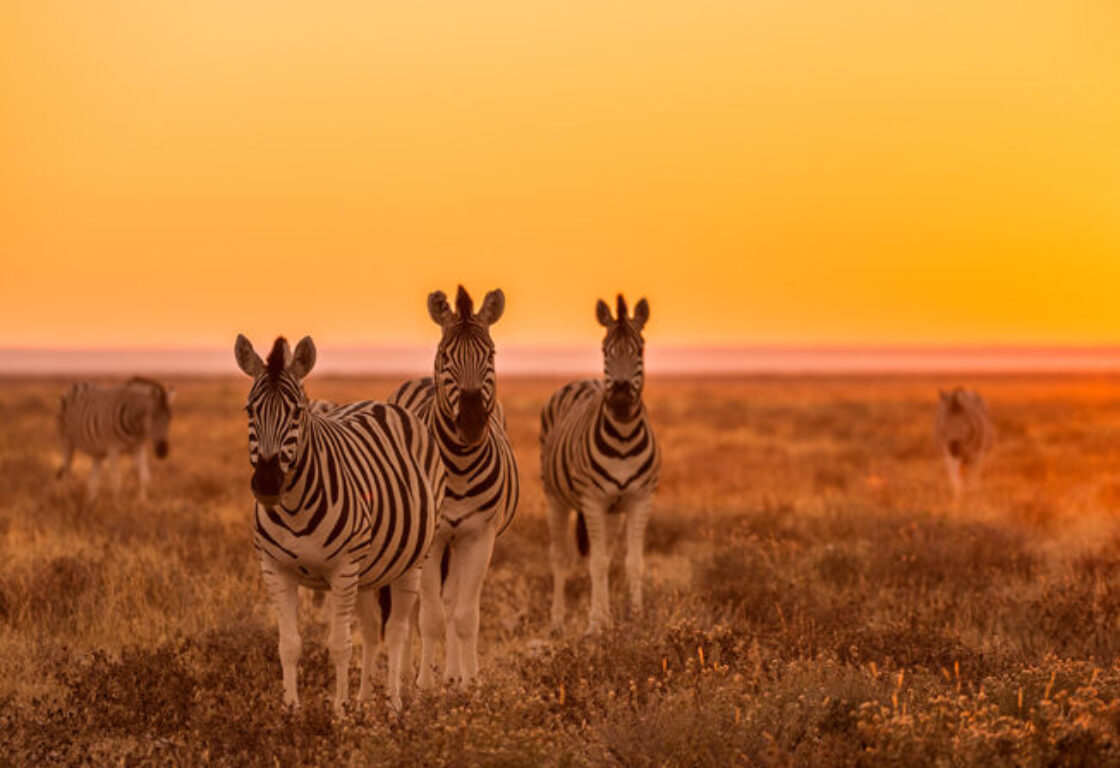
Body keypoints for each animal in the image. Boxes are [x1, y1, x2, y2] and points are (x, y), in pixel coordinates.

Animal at [234, 334, 444, 711]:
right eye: (249, 410)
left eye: (297, 412)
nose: (268, 484)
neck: (294, 508)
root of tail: (382, 404)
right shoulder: (274, 569)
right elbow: (289, 644)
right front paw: (291, 711)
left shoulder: (343, 569)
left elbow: (340, 645)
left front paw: (339, 714)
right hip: (368, 570)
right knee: (373, 628)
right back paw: (364, 703)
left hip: (412, 561)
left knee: (396, 631)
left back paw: (394, 704)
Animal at [388, 286, 519, 688]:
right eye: (445, 355)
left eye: (490, 354)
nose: (473, 422)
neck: (459, 466)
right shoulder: (433, 540)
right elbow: (429, 616)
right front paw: (423, 687)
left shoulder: (479, 536)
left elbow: (463, 615)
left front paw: (469, 683)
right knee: (414, 606)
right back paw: (408, 674)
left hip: (459, 543)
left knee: (451, 601)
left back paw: (452, 675)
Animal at [541, 294, 660, 635]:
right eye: (605, 350)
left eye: (640, 349)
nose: (619, 399)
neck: (622, 438)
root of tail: (583, 380)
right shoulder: (593, 500)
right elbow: (596, 562)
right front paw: (594, 624)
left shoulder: (639, 498)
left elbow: (632, 561)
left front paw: (636, 616)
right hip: (556, 498)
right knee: (560, 557)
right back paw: (557, 621)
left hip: (612, 511)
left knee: (604, 552)